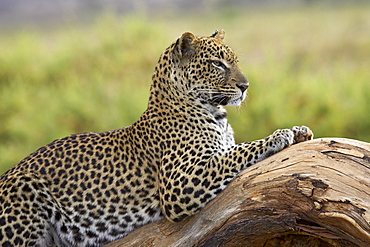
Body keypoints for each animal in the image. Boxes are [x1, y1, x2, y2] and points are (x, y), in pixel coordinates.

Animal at [0, 29, 312, 246]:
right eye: (217, 64)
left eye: (234, 61)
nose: (245, 86)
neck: (216, 114)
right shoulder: (180, 181)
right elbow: (238, 152)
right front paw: (279, 135)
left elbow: (234, 150)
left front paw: (301, 131)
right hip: (23, 189)